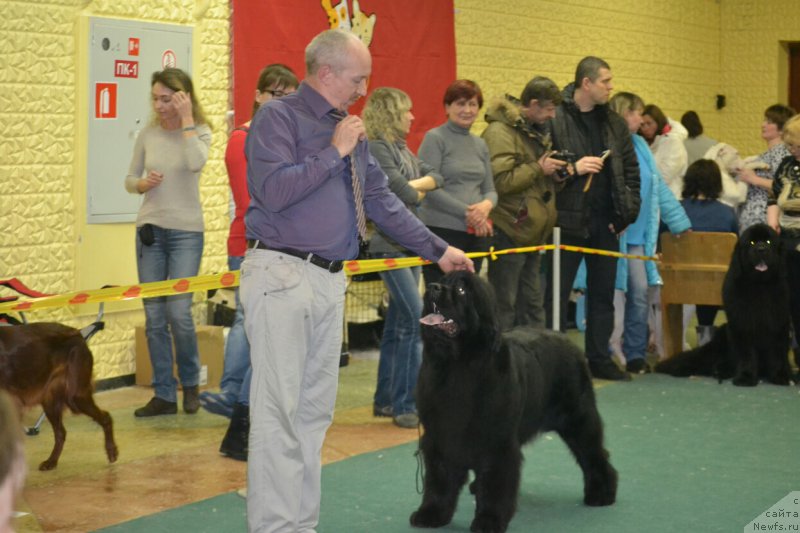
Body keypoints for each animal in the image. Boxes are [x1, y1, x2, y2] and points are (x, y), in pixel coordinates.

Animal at [0, 322, 119, 468]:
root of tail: (78, 333)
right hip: (50, 401)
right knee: (61, 432)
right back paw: (51, 461)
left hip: (76, 396)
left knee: (105, 417)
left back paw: (111, 451)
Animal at [410, 272, 616, 528]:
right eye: (442, 279)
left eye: (461, 290)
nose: (432, 287)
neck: (457, 365)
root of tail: (568, 341)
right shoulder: (441, 437)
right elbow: (440, 479)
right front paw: (432, 513)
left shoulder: (497, 441)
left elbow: (496, 484)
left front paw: (489, 520)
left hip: (579, 418)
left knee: (594, 454)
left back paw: (602, 494)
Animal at [656, 222, 792, 384]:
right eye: (752, 242)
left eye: (769, 242)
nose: (761, 249)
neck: (759, 286)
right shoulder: (741, 325)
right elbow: (746, 354)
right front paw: (745, 377)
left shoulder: (778, 325)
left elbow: (777, 354)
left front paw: (779, 376)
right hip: (719, 341)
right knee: (700, 360)